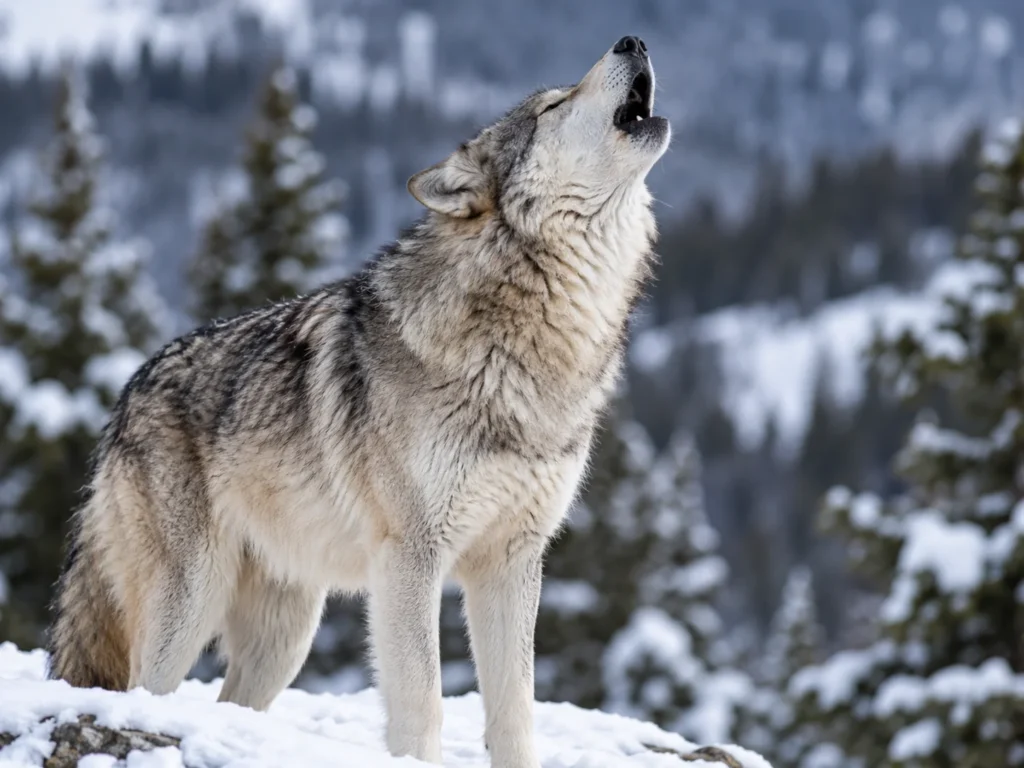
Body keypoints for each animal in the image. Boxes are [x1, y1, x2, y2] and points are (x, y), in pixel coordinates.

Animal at [48, 36, 670, 767]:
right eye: (553, 105)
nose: (633, 40)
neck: (531, 344)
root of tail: (125, 394)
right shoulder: (410, 558)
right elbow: (423, 703)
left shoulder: (512, 562)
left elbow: (516, 711)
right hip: (192, 602)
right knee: (145, 690)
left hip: (285, 637)